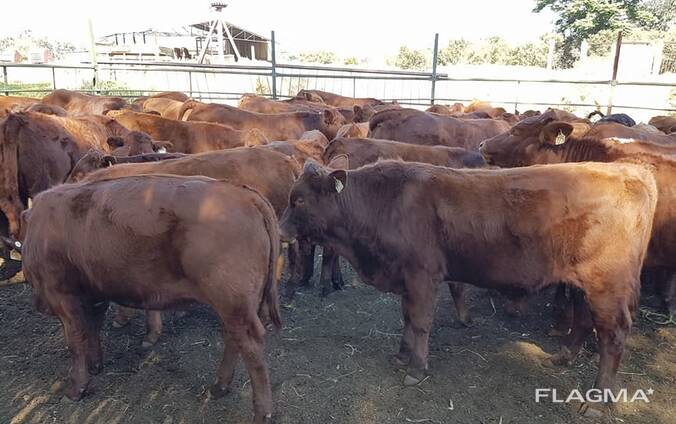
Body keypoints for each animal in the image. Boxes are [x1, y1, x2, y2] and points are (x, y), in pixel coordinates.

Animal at [22, 175, 281, 423]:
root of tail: (245, 193)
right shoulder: (94, 294)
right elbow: (91, 331)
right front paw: (95, 365)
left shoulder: (62, 297)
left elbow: (75, 343)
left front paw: (77, 388)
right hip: (234, 307)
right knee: (233, 339)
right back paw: (219, 387)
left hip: (234, 305)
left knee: (252, 349)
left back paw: (261, 413)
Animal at [279, 159, 656, 417]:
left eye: (299, 201)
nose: (280, 229)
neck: (385, 204)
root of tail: (631, 171)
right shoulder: (407, 278)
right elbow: (406, 319)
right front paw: (402, 356)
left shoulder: (422, 275)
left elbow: (420, 322)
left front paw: (417, 368)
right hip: (583, 283)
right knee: (582, 318)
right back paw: (562, 357)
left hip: (607, 285)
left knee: (612, 336)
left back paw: (597, 401)